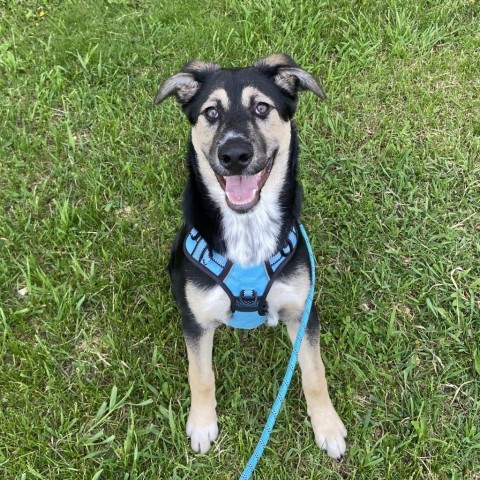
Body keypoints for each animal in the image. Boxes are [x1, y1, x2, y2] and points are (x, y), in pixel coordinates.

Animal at [156, 54, 346, 460]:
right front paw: (202, 424)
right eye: (211, 112)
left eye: (261, 107)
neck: (247, 226)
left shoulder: (302, 311)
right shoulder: (196, 321)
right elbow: (200, 375)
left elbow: (314, 373)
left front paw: (327, 426)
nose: (234, 155)